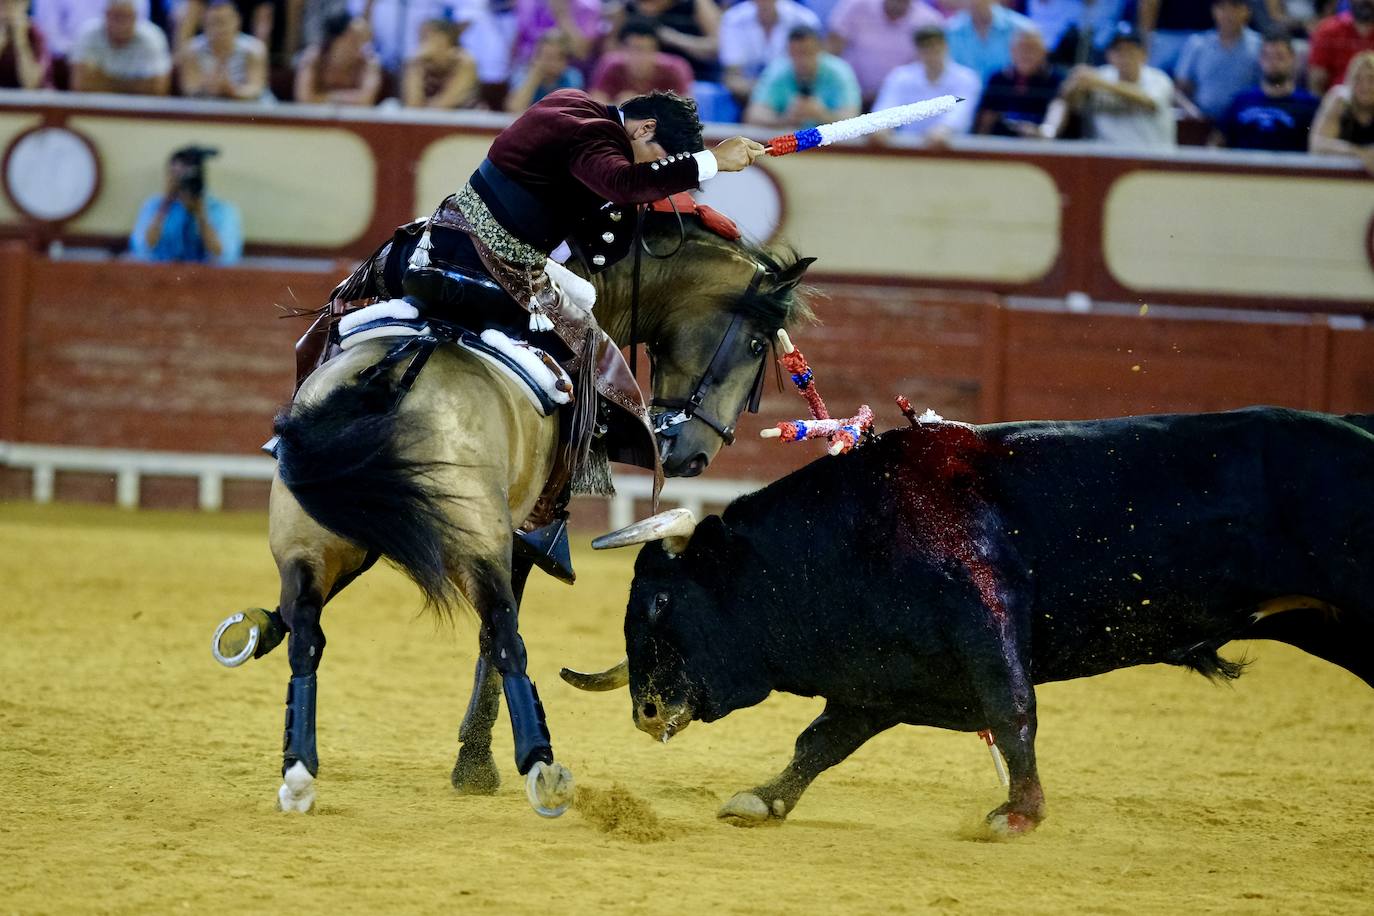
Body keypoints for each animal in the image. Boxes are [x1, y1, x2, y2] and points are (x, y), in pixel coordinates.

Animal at [212, 207, 807, 818]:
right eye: (756, 345)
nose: (694, 455)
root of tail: (397, 375)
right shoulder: (522, 536)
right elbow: (492, 638)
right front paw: (474, 760)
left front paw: (256, 628)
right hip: (481, 539)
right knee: (503, 633)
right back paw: (539, 767)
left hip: (307, 529)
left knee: (309, 625)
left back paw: (298, 772)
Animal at [582, 406, 1374, 829]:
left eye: (659, 601)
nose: (645, 711)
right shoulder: (882, 679)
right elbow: (821, 740)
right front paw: (762, 800)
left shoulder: (985, 619)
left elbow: (1012, 708)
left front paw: (1017, 814)